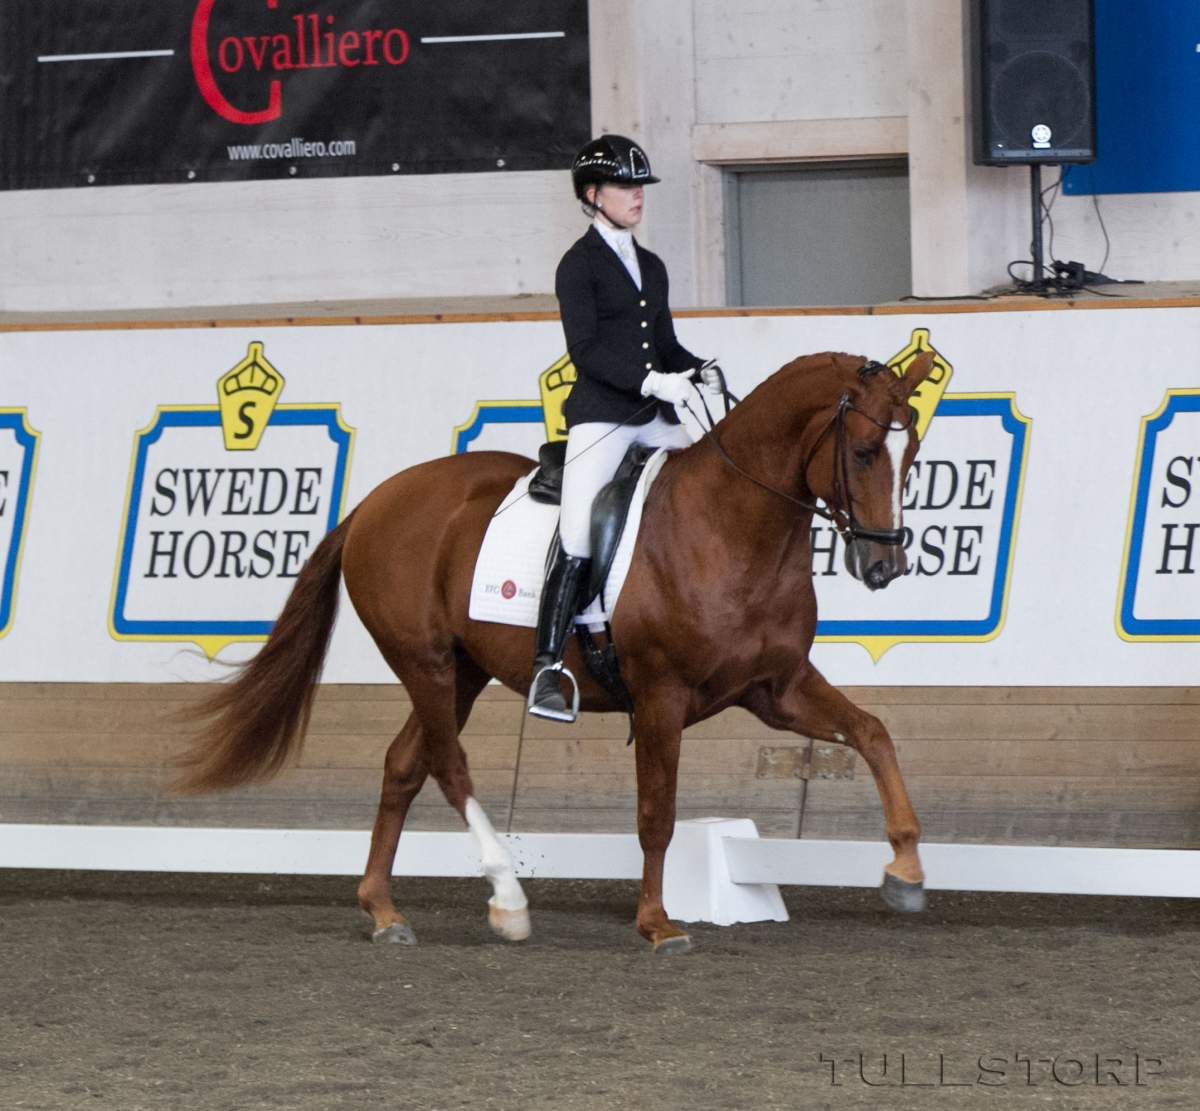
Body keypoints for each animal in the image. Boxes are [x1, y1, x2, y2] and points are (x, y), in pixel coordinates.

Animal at [176, 350, 936, 953]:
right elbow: (656, 813)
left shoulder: (774, 688)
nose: (883, 567)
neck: (730, 525)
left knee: (403, 765)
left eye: (914, 456)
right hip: (425, 662)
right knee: (448, 765)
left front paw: (905, 869)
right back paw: (508, 900)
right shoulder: (661, 696)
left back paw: (384, 910)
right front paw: (657, 923)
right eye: (864, 451)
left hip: (462, 670)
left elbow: (873, 732)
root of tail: (374, 503)